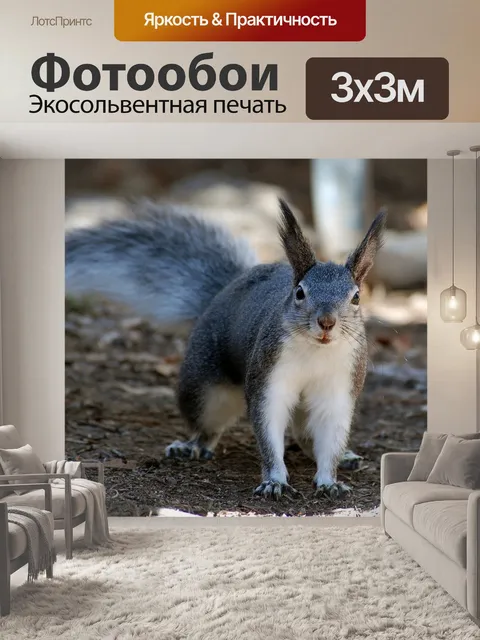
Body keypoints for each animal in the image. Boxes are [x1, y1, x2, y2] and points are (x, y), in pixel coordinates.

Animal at [66, 199, 386, 500]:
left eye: (356, 297)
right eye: (299, 293)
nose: (326, 322)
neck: (316, 351)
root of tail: (226, 291)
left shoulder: (339, 388)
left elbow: (330, 437)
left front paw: (329, 481)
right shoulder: (268, 379)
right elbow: (269, 430)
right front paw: (274, 481)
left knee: (307, 436)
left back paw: (345, 457)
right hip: (204, 389)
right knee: (207, 426)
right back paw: (192, 447)